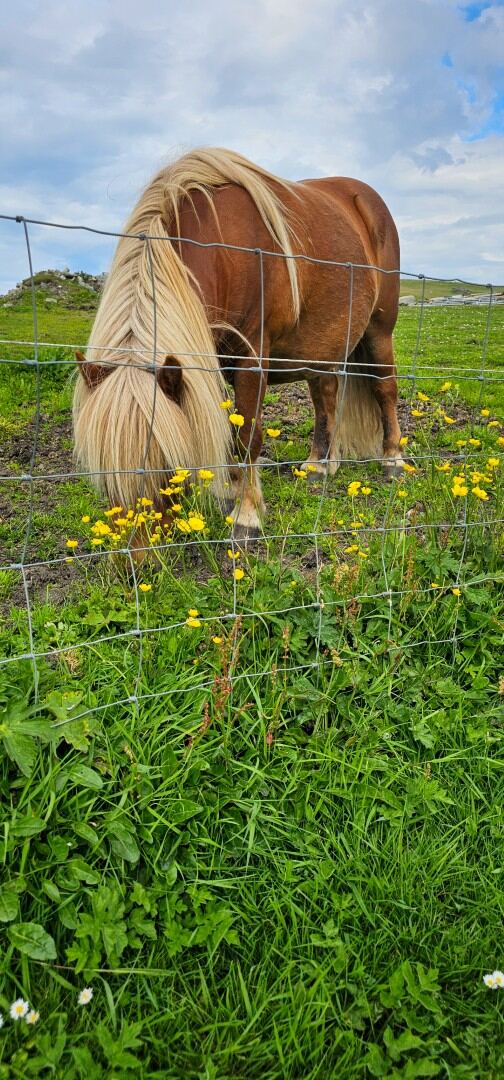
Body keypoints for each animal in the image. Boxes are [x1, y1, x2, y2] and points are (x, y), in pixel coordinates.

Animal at [73, 147, 403, 540]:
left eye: (169, 464)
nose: (139, 551)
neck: (223, 249)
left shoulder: (250, 357)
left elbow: (247, 436)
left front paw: (246, 513)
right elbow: (231, 434)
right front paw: (230, 491)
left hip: (379, 332)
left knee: (385, 390)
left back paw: (393, 459)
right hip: (321, 347)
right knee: (325, 398)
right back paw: (320, 465)